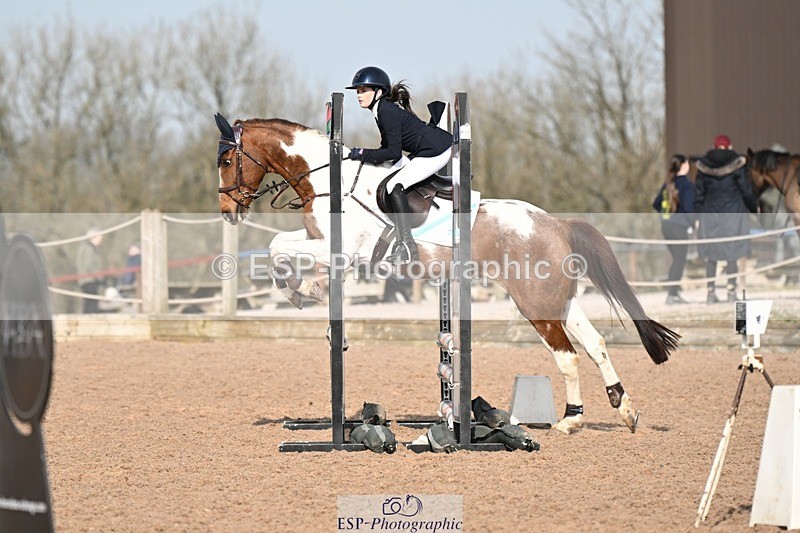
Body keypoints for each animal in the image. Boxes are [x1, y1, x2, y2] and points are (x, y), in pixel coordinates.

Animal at [214, 114, 680, 434]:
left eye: (228, 159)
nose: (227, 211)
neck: (329, 181)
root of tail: (555, 224)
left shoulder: (344, 248)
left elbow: (278, 248)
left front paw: (298, 288)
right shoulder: (323, 243)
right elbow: (284, 248)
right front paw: (303, 287)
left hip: (535, 303)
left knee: (567, 356)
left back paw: (570, 422)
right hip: (558, 300)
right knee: (596, 343)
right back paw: (623, 409)